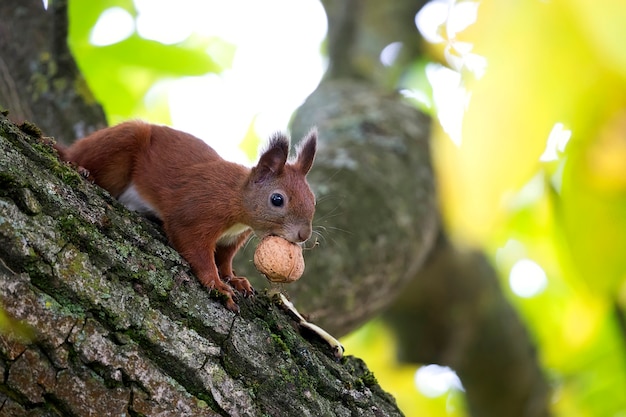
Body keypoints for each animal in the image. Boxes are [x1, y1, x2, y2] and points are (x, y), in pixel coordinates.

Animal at [54, 118, 316, 310]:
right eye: (277, 200)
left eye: (313, 200)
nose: (304, 235)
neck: (236, 199)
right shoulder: (199, 211)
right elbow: (194, 247)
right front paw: (217, 284)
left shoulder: (232, 238)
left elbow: (224, 258)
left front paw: (233, 278)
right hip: (122, 141)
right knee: (77, 157)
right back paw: (79, 166)